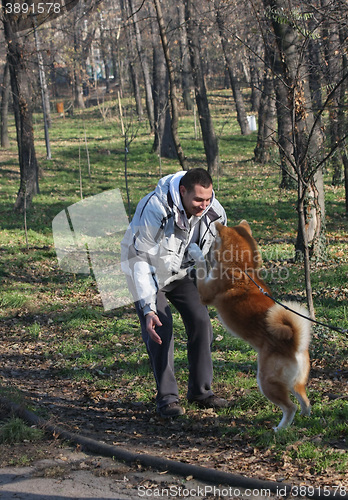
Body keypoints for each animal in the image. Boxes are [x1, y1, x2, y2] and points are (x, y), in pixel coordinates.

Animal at [189, 221, 312, 432]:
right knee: (304, 400)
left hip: (266, 382)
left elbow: (201, 267)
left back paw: (280, 428)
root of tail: (294, 343)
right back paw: (305, 417)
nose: (207, 243)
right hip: (296, 382)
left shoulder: (205, 292)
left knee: (290, 407)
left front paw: (196, 251)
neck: (242, 268)